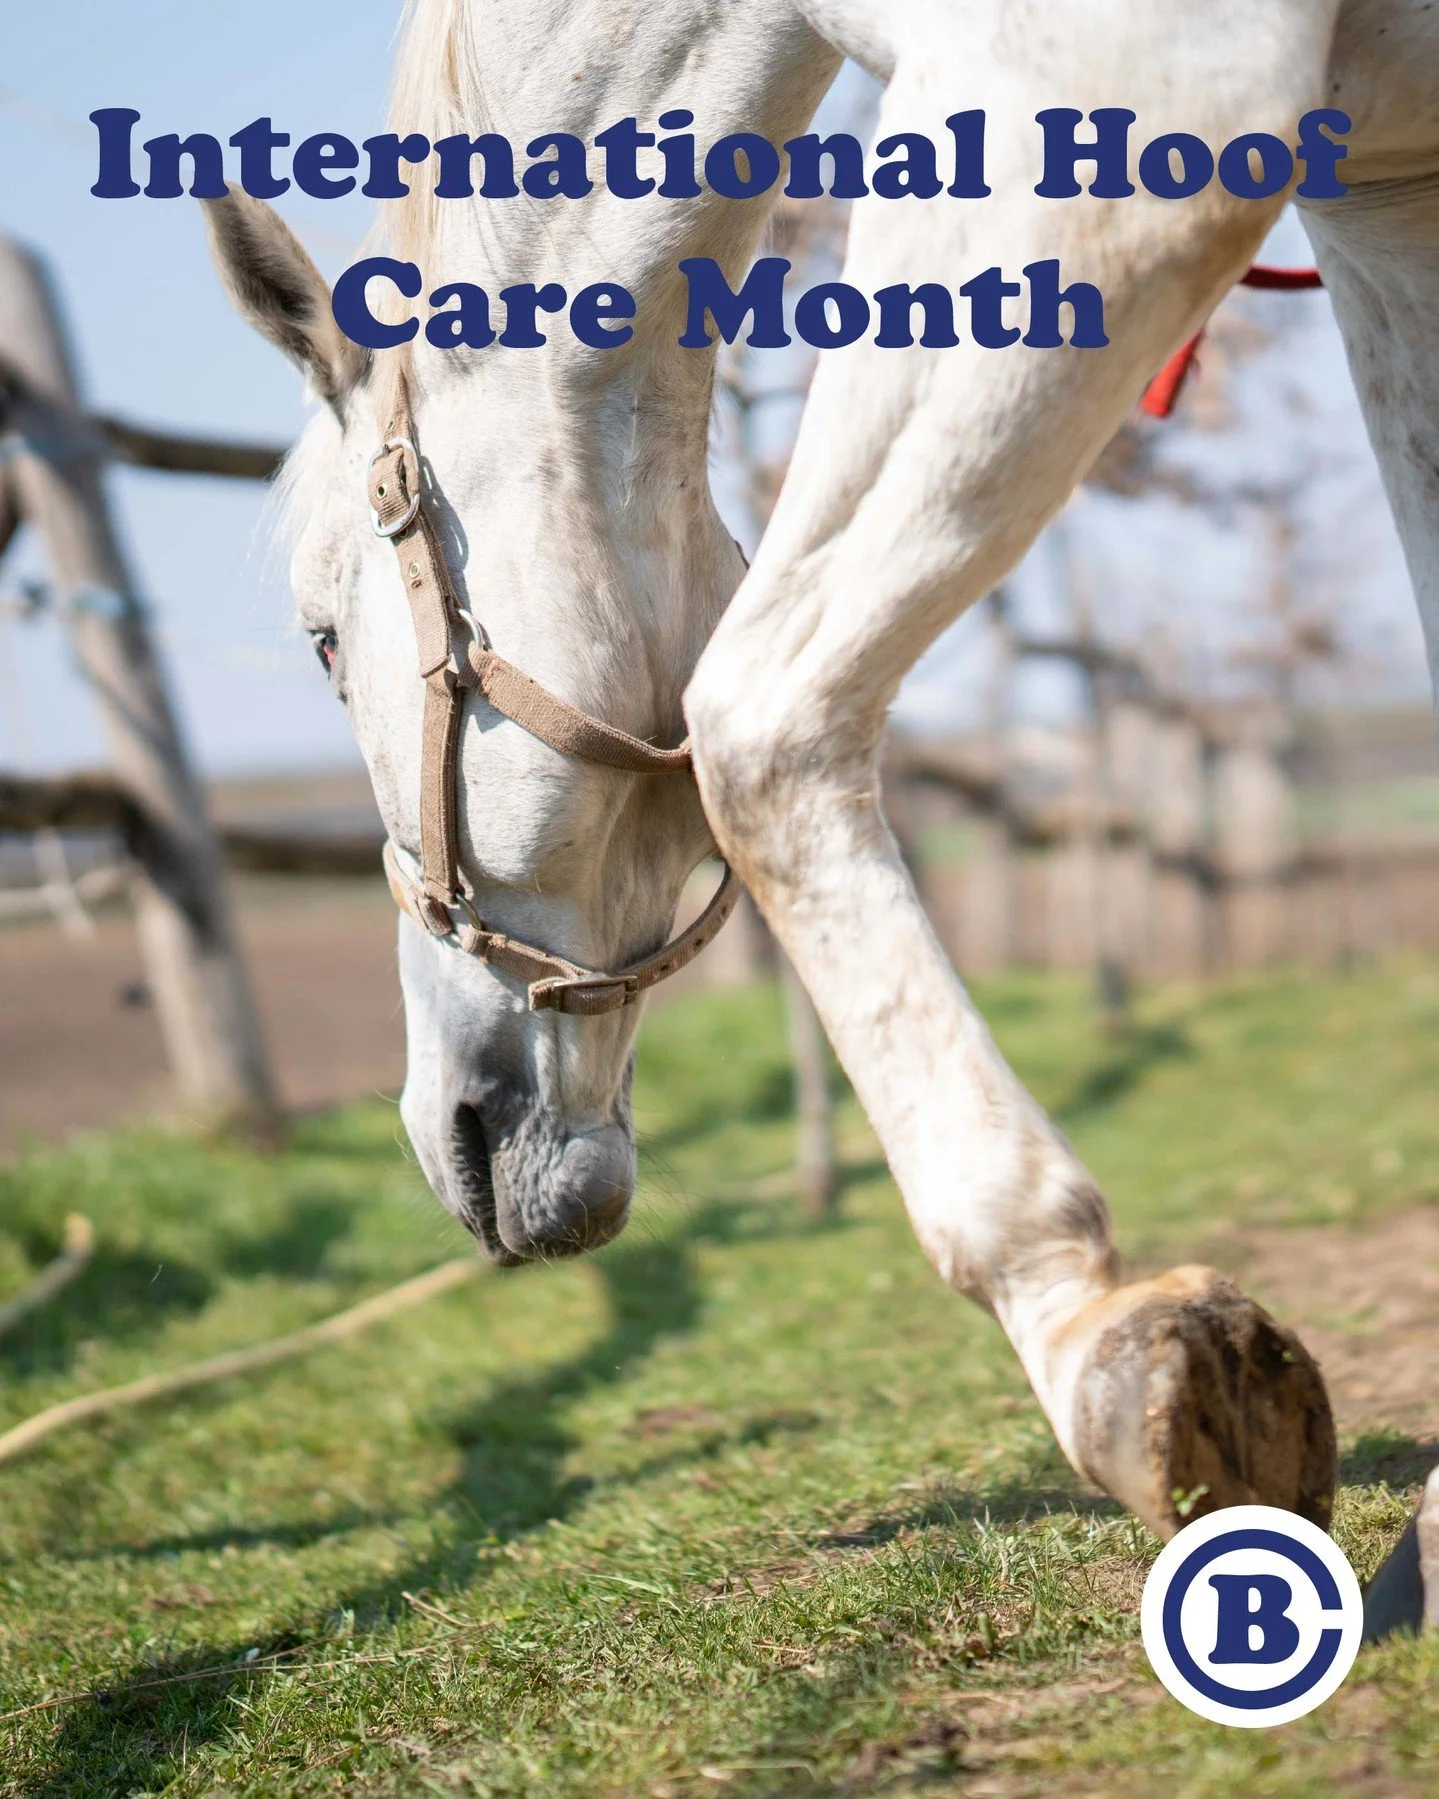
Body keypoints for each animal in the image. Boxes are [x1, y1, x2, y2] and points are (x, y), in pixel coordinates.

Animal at [201, 0, 1439, 1596]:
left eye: (319, 636)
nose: (444, 1132)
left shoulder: (1114, 92)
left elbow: (757, 711)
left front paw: (1088, 1324)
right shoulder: (1388, 206)